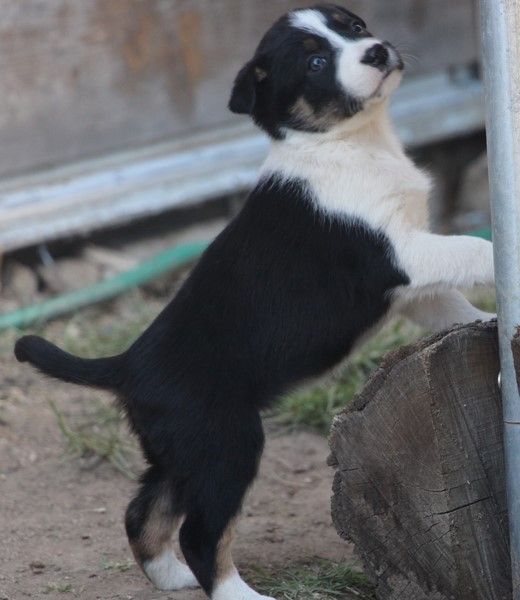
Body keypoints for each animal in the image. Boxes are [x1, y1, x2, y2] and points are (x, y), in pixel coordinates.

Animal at [15, 4, 496, 600]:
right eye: (315, 62)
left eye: (355, 27)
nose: (378, 51)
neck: (348, 141)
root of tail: (126, 365)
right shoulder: (401, 254)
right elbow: (474, 247)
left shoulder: (410, 285)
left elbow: (452, 308)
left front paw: (487, 324)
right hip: (228, 445)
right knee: (200, 533)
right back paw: (235, 592)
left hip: (182, 456)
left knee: (142, 512)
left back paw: (170, 577)